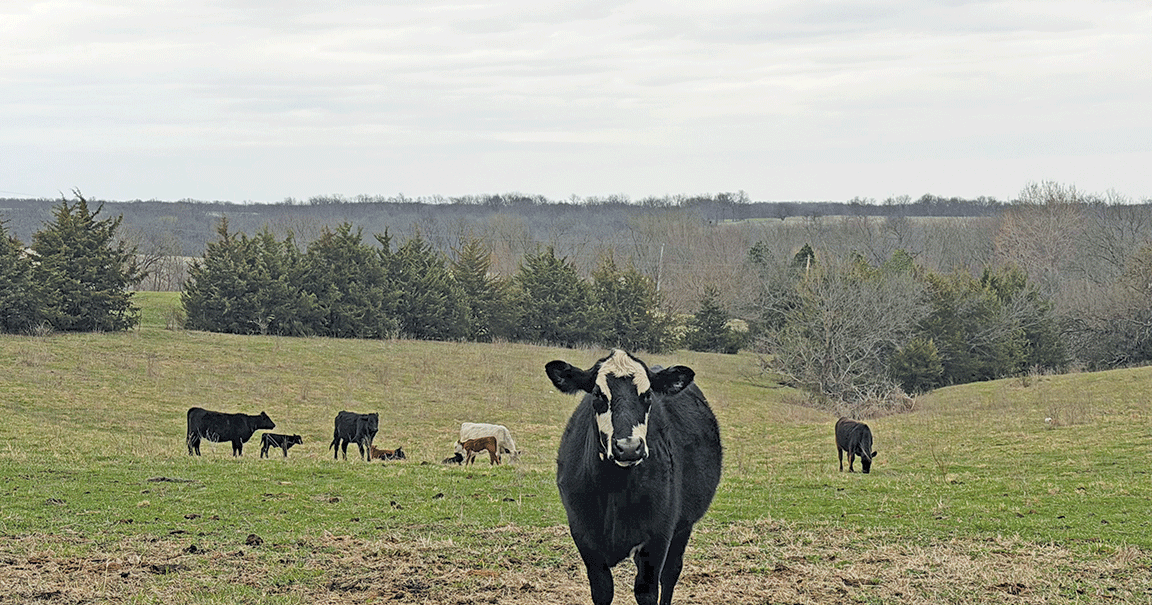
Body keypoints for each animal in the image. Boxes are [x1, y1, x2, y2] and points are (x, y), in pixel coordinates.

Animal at [546, 349, 722, 605]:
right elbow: (603, 590)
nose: (629, 447)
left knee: (671, 573)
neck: (614, 488)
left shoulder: (658, 537)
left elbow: (647, 591)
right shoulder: (584, 536)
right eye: (598, 394)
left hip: (683, 526)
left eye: (647, 394)